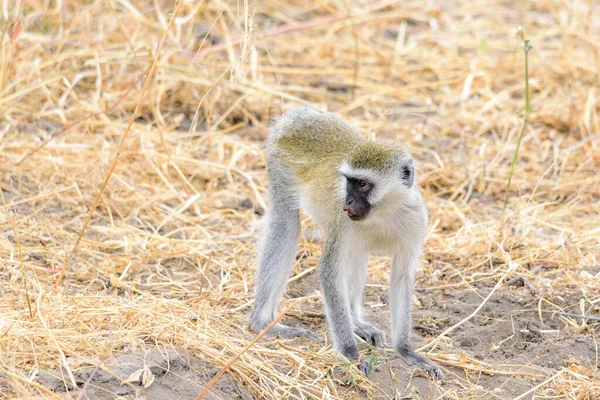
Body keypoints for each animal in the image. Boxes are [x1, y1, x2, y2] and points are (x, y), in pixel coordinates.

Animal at [250, 107, 446, 382]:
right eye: (349, 182)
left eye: (362, 184)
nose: (348, 203)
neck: (384, 212)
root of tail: (300, 114)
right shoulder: (342, 222)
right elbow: (329, 270)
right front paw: (350, 353)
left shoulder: (416, 221)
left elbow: (401, 276)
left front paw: (406, 351)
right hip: (280, 164)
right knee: (286, 224)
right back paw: (262, 323)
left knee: (356, 254)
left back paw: (356, 322)